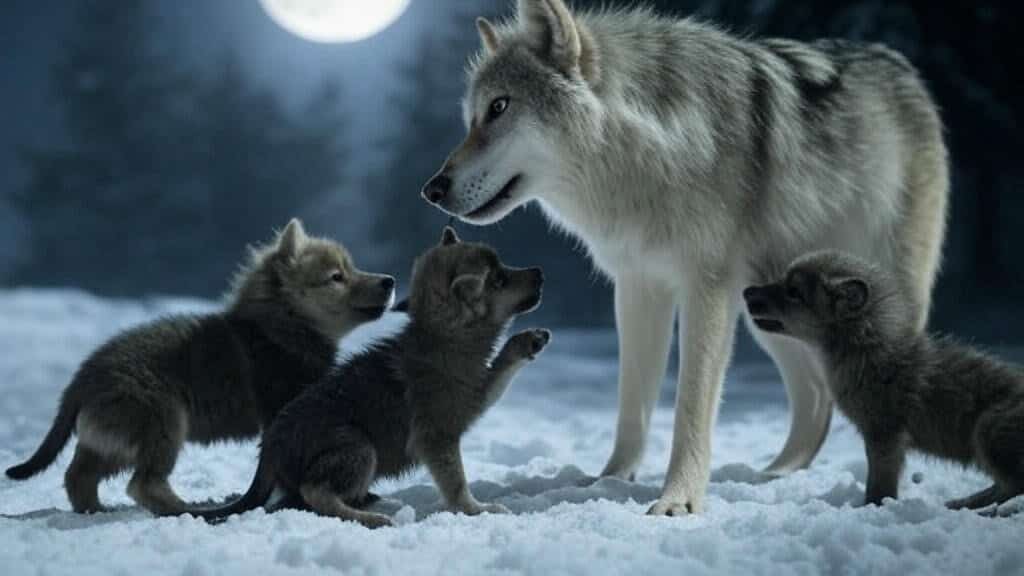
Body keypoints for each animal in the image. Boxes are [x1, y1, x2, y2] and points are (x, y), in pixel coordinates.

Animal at [5, 219, 395, 516]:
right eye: (336, 276)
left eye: (351, 267)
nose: (389, 281)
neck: (281, 326)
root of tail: (82, 379)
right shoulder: (285, 412)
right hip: (163, 422)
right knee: (142, 484)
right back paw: (183, 508)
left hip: (112, 439)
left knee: (78, 476)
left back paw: (96, 510)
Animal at [194, 227, 549, 527]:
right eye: (499, 280)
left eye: (503, 268)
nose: (540, 272)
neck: (444, 337)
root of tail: (268, 450)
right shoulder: (438, 435)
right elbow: (457, 484)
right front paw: (479, 510)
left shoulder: (475, 394)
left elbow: (500, 367)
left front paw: (529, 340)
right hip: (360, 446)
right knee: (315, 492)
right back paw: (373, 517)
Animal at [421, 0, 949, 514]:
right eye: (472, 117)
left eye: (500, 107)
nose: (432, 190)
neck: (652, 152)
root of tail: (899, 63)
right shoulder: (638, 286)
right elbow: (632, 403)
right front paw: (610, 481)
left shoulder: (706, 288)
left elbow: (691, 405)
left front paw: (679, 500)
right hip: (768, 309)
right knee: (817, 395)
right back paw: (772, 476)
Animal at [744, 251, 1024, 510]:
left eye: (793, 291)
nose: (746, 291)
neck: (864, 348)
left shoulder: (884, 435)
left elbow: (879, 485)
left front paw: (871, 508)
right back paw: (961, 503)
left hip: (987, 430)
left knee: (1012, 488)